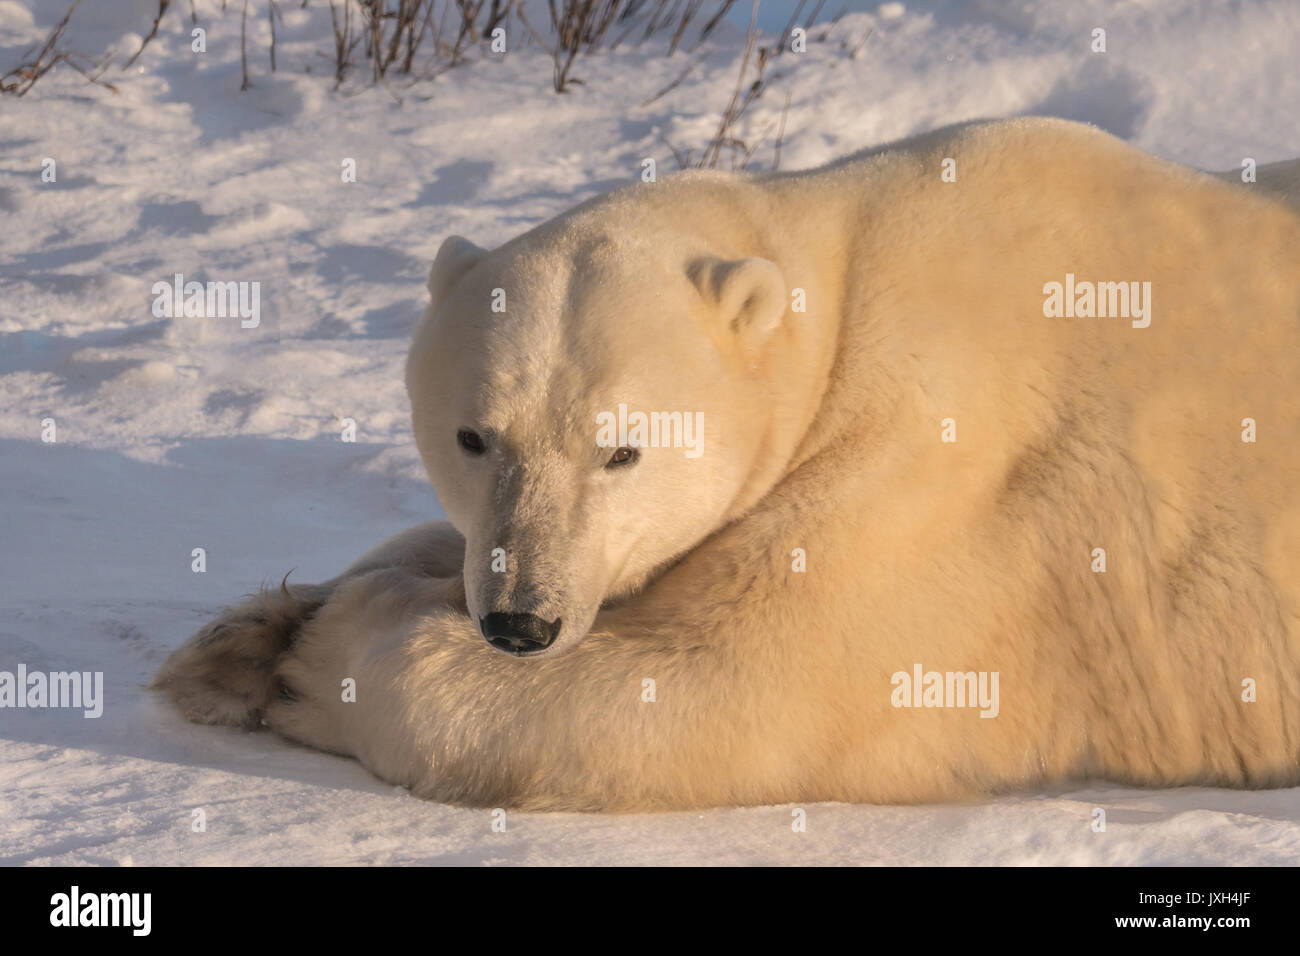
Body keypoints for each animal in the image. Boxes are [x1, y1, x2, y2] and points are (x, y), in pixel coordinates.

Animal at [153, 118, 1300, 811]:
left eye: (623, 447)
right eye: (473, 436)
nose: (521, 620)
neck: (836, 301)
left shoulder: (949, 482)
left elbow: (726, 690)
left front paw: (319, 656)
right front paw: (245, 635)